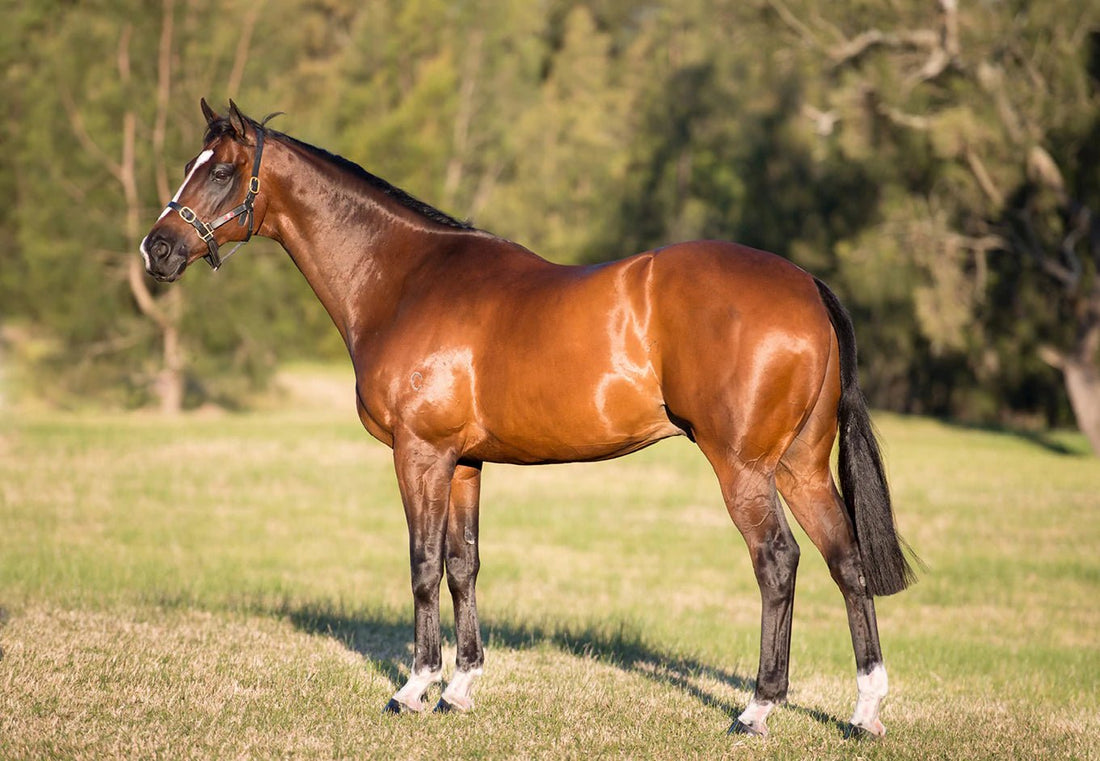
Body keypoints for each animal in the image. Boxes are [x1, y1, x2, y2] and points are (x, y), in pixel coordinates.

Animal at [140, 100, 915, 738]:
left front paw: (414, 687)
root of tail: (806, 286)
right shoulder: (463, 461)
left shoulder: (419, 453)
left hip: (744, 467)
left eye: (223, 171)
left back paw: (757, 708)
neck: (404, 279)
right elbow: (463, 565)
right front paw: (459, 689)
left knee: (778, 563)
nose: (158, 249)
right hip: (801, 466)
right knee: (846, 561)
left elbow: (423, 564)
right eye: (189, 166)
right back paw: (865, 711)